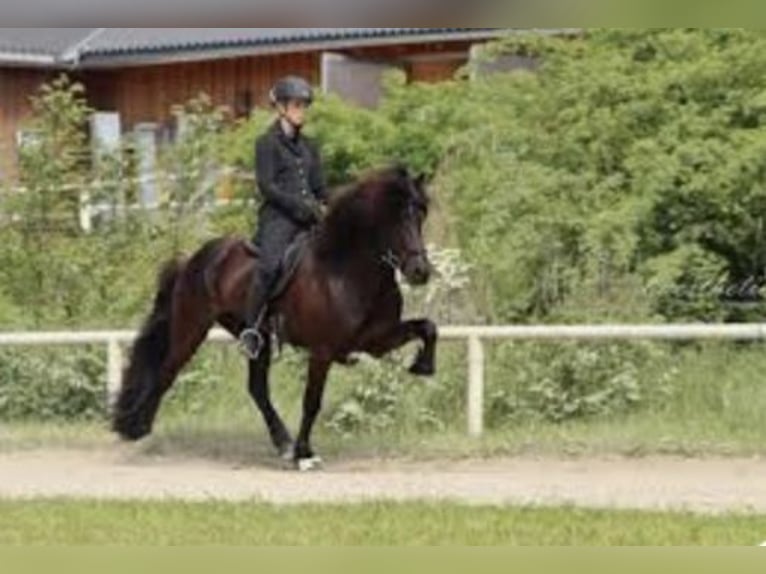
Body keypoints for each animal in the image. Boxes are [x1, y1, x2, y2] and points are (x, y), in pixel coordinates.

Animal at [112, 165, 438, 472]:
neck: (344, 270)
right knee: (166, 371)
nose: (420, 272)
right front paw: (305, 454)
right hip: (191, 329)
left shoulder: (376, 339)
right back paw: (136, 427)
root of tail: (194, 259)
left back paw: (283, 443)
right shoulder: (323, 351)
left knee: (257, 389)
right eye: (397, 218)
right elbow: (312, 402)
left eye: (421, 215)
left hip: (256, 337)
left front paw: (423, 366)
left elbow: (428, 327)